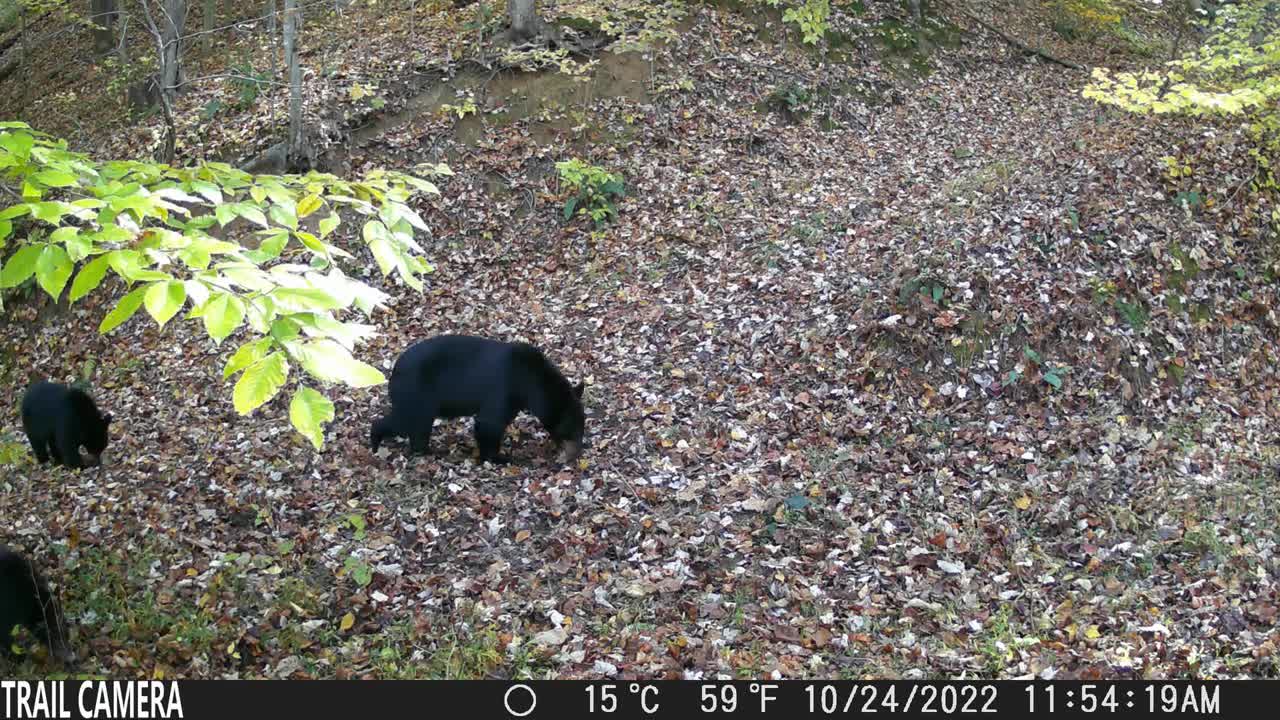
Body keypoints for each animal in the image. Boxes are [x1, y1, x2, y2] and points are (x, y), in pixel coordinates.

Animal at [371, 333, 586, 461]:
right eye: (572, 428)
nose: (577, 452)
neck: (529, 379)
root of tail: (394, 371)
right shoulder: (503, 389)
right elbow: (489, 423)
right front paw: (498, 457)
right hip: (417, 393)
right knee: (410, 421)